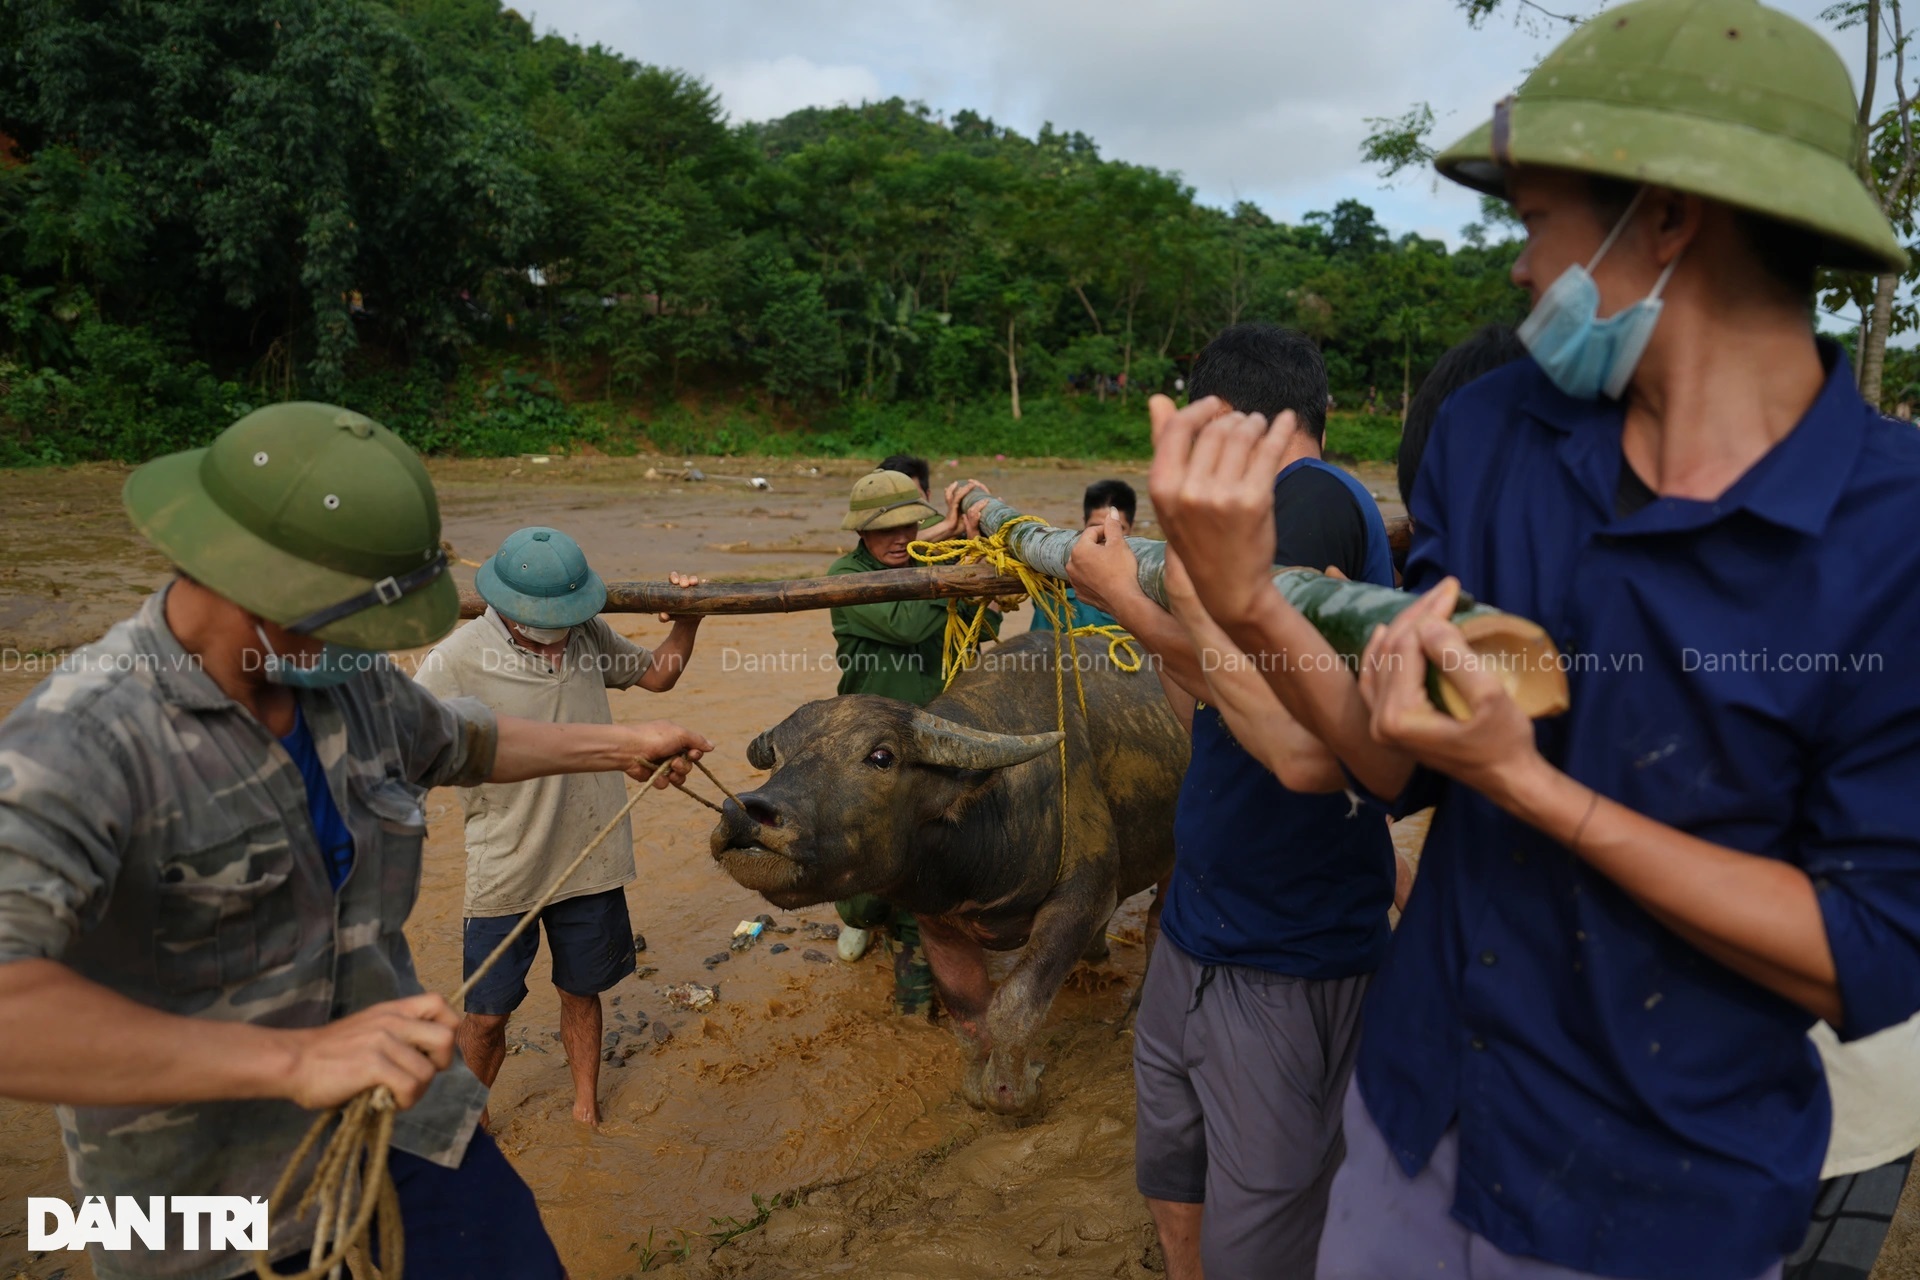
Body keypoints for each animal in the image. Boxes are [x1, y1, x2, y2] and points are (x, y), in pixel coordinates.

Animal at [710, 629, 1182, 1113]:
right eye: (778, 756)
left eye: (881, 756)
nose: (744, 815)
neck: (990, 814)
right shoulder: (938, 921)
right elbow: (968, 1015)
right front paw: (977, 1084)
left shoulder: (1086, 895)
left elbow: (1013, 1004)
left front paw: (1014, 1090)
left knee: (1158, 927)